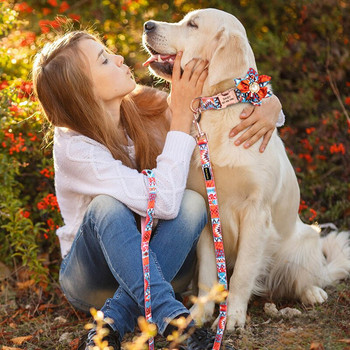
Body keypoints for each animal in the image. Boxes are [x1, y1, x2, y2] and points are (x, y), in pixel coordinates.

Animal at [142, 8, 350, 330]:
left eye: (192, 25)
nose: (147, 25)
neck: (219, 109)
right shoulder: (208, 211)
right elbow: (209, 274)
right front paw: (201, 314)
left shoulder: (256, 212)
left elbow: (242, 273)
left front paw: (233, 317)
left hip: (306, 240)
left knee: (308, 277)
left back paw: (312, 292)